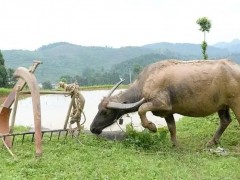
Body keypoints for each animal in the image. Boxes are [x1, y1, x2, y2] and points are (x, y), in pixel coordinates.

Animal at [90, 59, 240, 146]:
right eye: (98, 108)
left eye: (105, 112)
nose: (92, 128)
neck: (145, 82)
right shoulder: (168, 112)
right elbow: (172, 127)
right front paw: (174, 144)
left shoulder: (161, 103)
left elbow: (141, 109)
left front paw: (152, 127)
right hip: (223, 106)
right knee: (225, 121)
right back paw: (212, 142)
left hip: (236, 103)